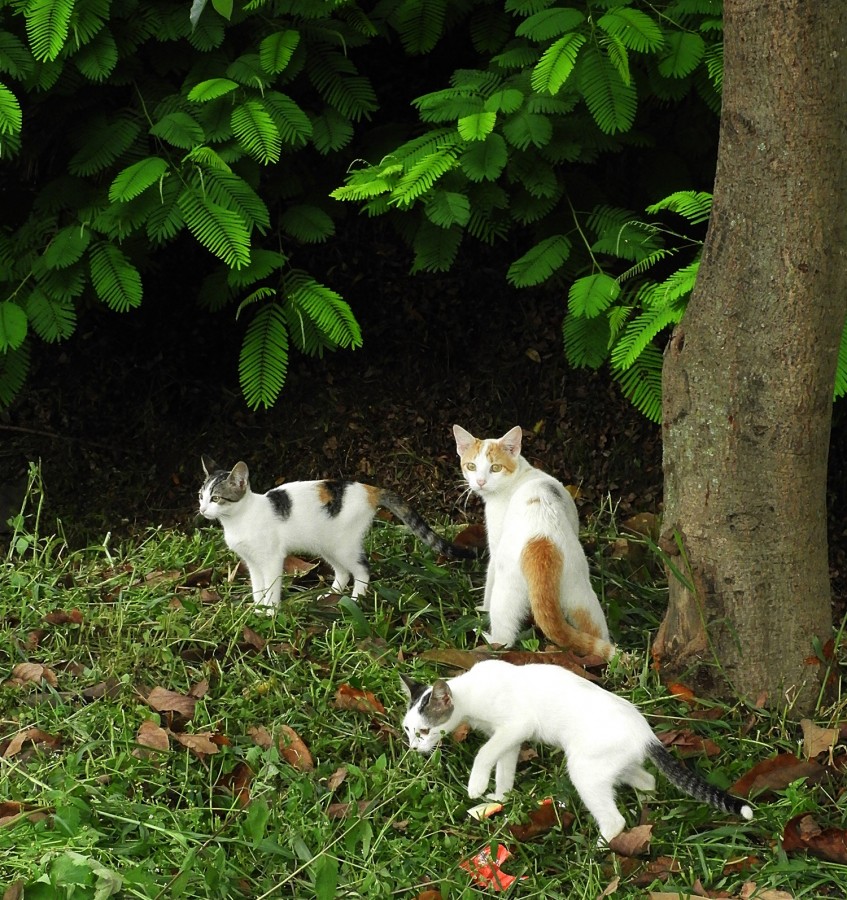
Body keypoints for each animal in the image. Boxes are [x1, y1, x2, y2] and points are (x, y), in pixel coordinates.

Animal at [200, 458, 476, 612]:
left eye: (216, 498)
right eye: (200, 496)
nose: (202, 510)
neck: (240, 519)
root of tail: (370, 489)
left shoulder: (271, 559)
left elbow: (271, 587)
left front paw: (270, 613)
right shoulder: (252, 562)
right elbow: (258, 588)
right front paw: (258, 611)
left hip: (343, 545)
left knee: (362, 568)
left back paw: (356, 598)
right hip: (327, 544)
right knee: (343, 572)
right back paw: (331, 596)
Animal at [402, 660, 756, 844]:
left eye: (425, 731)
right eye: (407, 730)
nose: (413, 747)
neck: (471, 693)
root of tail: (646, 733)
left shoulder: (516, 725)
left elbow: (485, 753)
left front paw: (476, 786)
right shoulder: (510, 738)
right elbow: (504, 768)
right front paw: (499, 798)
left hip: (584, 770)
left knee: (614, 819)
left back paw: (601, 847)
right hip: (611, 765)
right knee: (647, 780)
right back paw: (646, 813)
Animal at [454, 426, 612, 656]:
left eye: (495, 468)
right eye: (471, 466)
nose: (480, 482)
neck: (521, 474)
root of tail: (542, 543)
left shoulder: (496, 545)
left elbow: (488, 581)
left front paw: (482, 609)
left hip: (506, 588)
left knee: (505, 639)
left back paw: (487, 637)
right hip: (580, 594)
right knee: (595, 630)